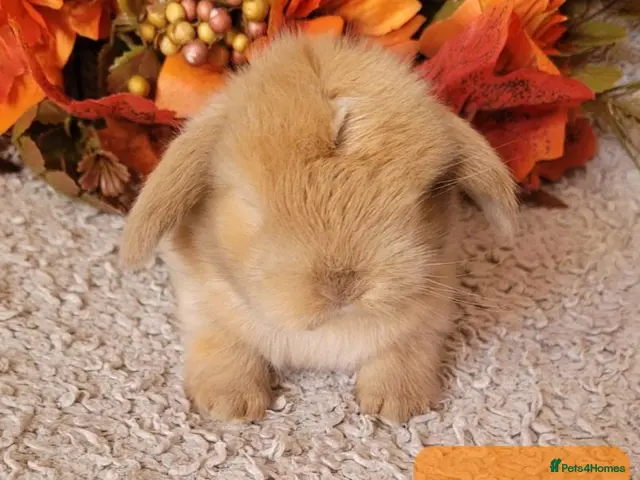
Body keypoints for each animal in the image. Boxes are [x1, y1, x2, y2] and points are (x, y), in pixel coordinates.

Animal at [119, 31, 518, 423]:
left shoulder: (428, 318)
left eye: (423, 196)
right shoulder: (202, 304)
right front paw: (231, 405)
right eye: (248, 202)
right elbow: (223, 347)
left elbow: (404, 353)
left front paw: (396, 404)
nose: (342, 285)